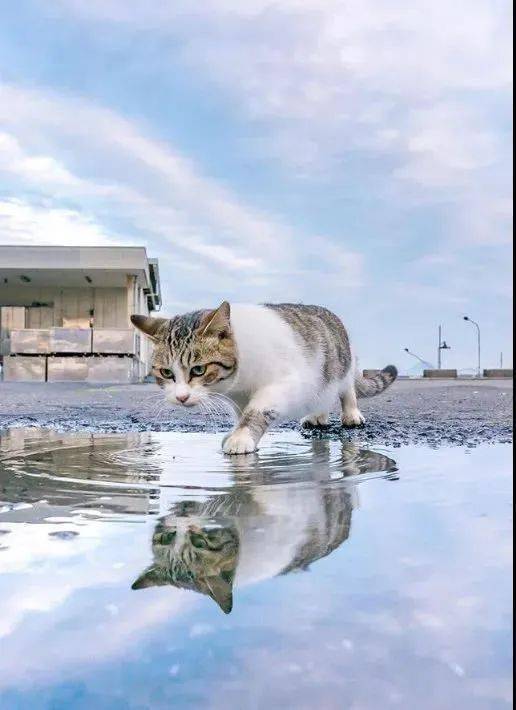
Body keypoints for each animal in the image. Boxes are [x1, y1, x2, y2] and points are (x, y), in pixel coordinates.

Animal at [131, 304, 398, 454]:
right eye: (167, 373)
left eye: (198, 370)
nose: (181, 397)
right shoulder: (238, 397)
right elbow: (242, 412)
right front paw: (238, 430)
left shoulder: (285, 383)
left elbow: (257, 410)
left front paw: (241, 437)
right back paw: (317, 416)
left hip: (339, 367)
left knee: (346, 389)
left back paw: (351, 413)